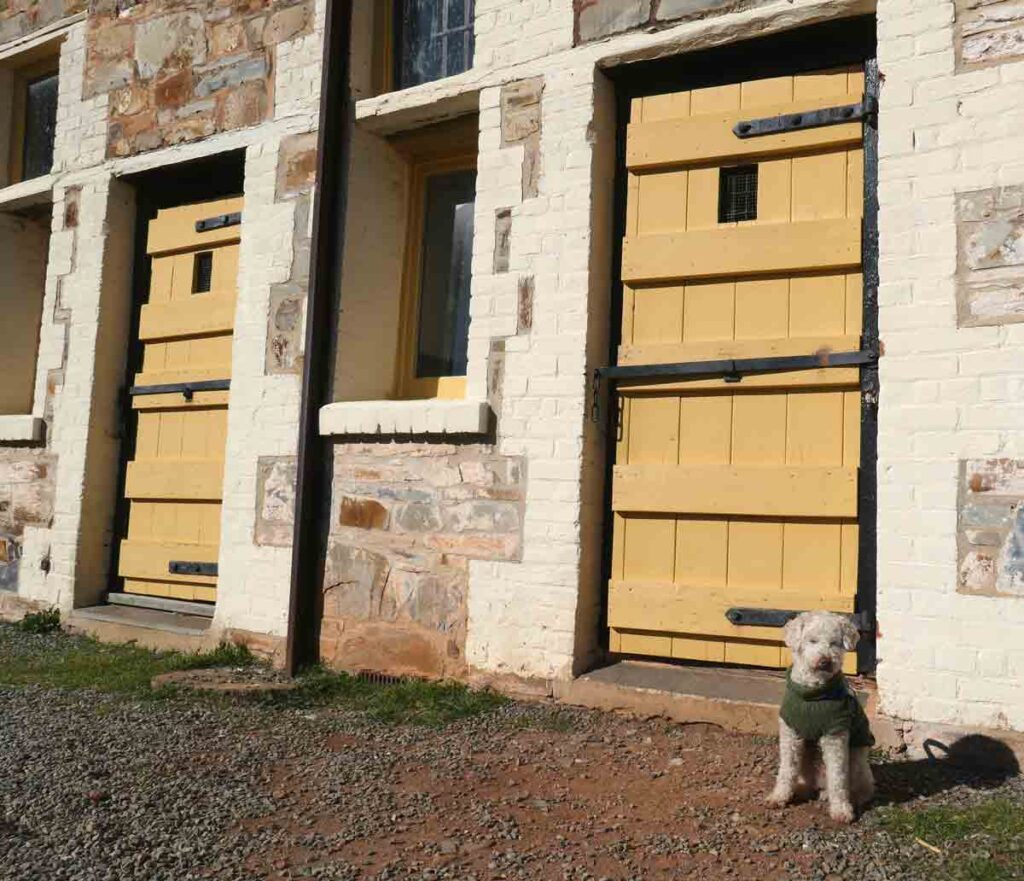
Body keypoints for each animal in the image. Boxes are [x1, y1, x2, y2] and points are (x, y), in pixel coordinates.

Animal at [770, 610, 872, 823]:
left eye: (834, 643)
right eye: (812, 640)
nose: (825, 661)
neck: (813, 695)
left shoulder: (835, 734)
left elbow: (838, 776)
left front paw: (841, 809)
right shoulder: (790, 733)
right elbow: (786, 769)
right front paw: (779, 796)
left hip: (857, 760)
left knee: (862, 788)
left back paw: (849, 798)